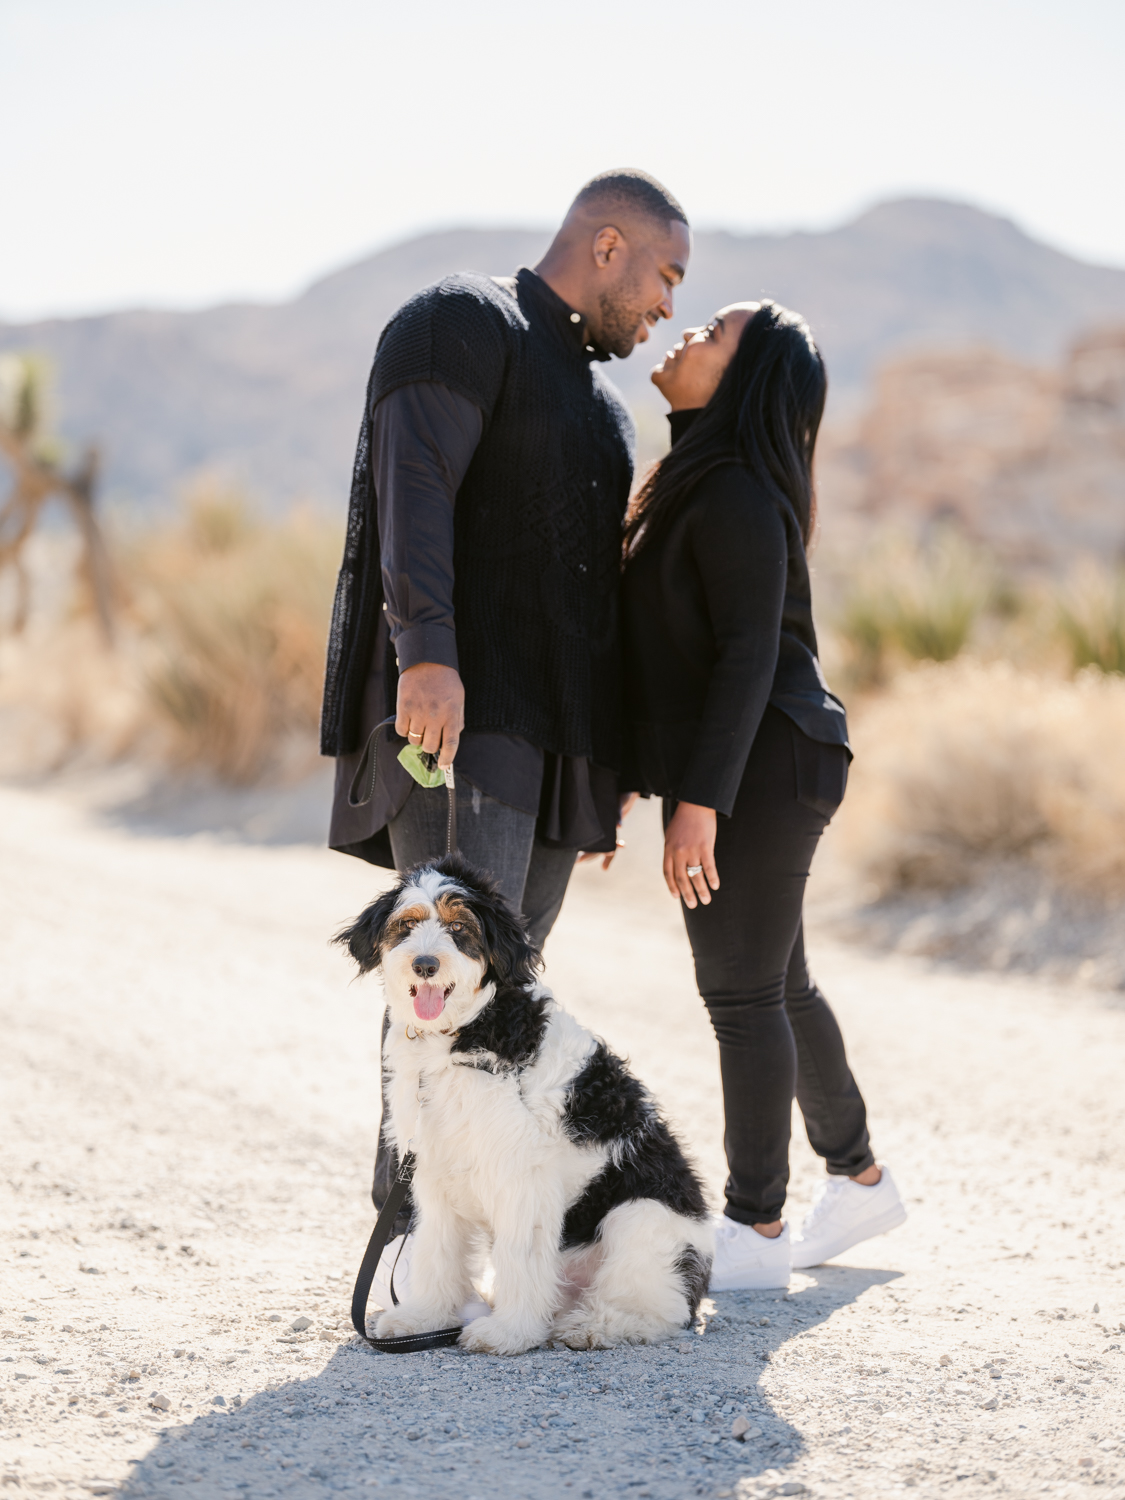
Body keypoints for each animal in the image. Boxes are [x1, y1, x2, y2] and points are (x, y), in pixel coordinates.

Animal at [334, 858, 714, 1362]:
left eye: (459, 927)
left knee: (658, 1311)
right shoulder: (434, 1169)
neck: (468, 1030)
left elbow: (519, 1255)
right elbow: (437, 1251)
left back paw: (592, 1326)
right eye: (407, 924)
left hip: (639, 1217)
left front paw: (508, 1334)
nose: (425, 964)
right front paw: (424, 1319)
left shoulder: (521, 1177)